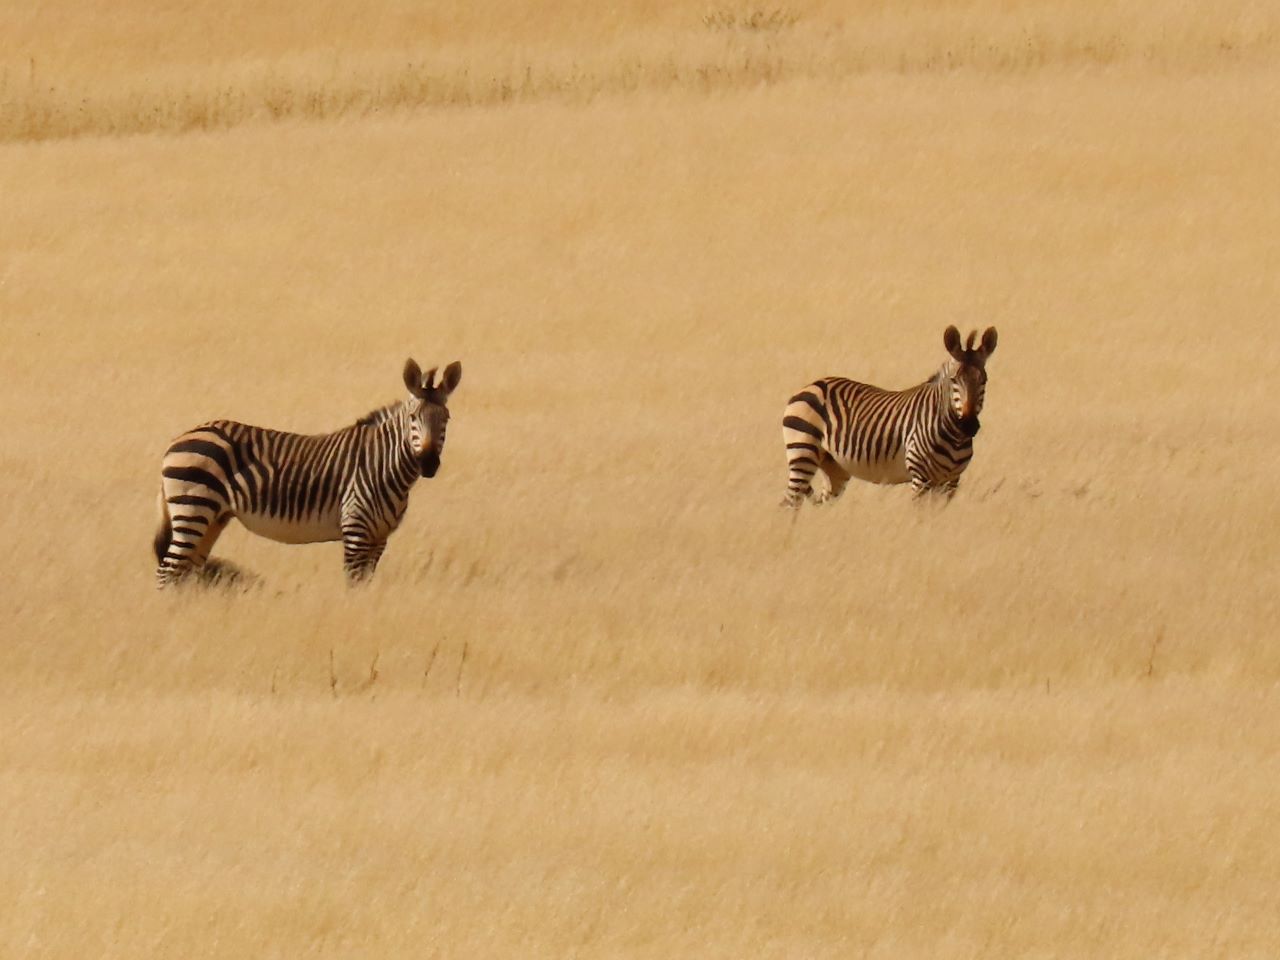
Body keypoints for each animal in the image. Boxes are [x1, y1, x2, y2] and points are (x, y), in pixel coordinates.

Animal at [153, 359, 462, 587]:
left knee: (185, 574)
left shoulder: (379, 538)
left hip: (213, 517)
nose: (429, 464)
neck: (383, 464)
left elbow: (366, 586)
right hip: (193, 508)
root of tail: (177, 440)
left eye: (446, 419)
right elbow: (353, 585)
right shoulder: (356, 529)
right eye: (412, 418)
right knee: (168, 572)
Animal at [781, 326, 997, 506]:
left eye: (984, 381)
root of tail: (811, 385)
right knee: (790, 502)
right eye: (953, 380)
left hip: (833, 465)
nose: (968, 426)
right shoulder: (920, 477)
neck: (955, 437)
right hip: (803, 451)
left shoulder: (951, 481)